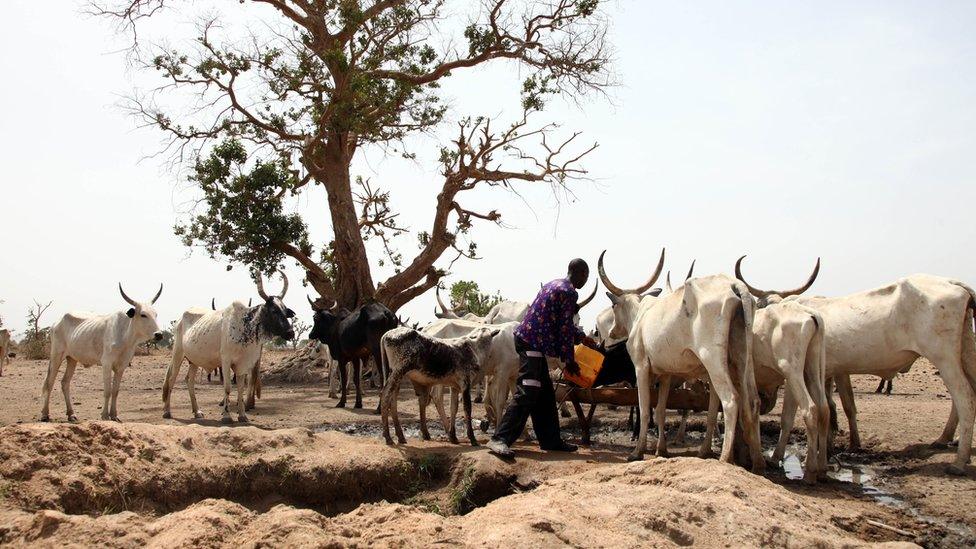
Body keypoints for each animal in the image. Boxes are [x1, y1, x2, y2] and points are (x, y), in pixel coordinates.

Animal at [41, 282, 164, 420]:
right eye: (143, 315)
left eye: (155, 314)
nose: (159, 334)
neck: (125, 336)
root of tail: (56, 323)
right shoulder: (106, 363)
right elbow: (107, 391)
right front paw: (105, 415)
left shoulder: (121, 366)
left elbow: (115, 391)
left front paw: (114, 415)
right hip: (56, 356)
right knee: (50, 382)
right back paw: (45, 414)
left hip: (71, 359)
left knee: (65, 383)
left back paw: (71, 414)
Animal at [164, 272, 296, 422]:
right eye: (274, 310)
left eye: (285, 311)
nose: (290, 333)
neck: (245, 325)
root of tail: (180, 319)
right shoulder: (226, 361)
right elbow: (227, 387)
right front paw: (226, 415)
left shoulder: (242, 364)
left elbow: (240, 388)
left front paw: (242, 415)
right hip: (178, 354)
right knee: (171, 379)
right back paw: (167, 411)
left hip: (194, 360)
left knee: (189, 381)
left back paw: (197, 411)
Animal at [600, 250, 768, 474]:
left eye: (613, 305)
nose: (611, 332)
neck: (640, 315)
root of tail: (734, 285)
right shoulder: (665, 374)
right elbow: (661, 410)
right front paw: (661, 450)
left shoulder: (641, 368)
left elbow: (644, 409)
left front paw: (637, 452)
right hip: (742, 357)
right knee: (752, 401)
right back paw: (756, 462)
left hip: (712, 359)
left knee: (731, 399)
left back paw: (725, 458)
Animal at [736, 256, 976, 476]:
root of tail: (954, 283)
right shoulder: (831, 372)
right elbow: (835, 407)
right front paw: (832, 449)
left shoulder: (813, 374)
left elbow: (801, 414)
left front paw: (784, 457)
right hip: (964, 352)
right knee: (966, 394)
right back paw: (946, 440)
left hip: (943, 357)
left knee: (965, 398)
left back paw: (958, 462)